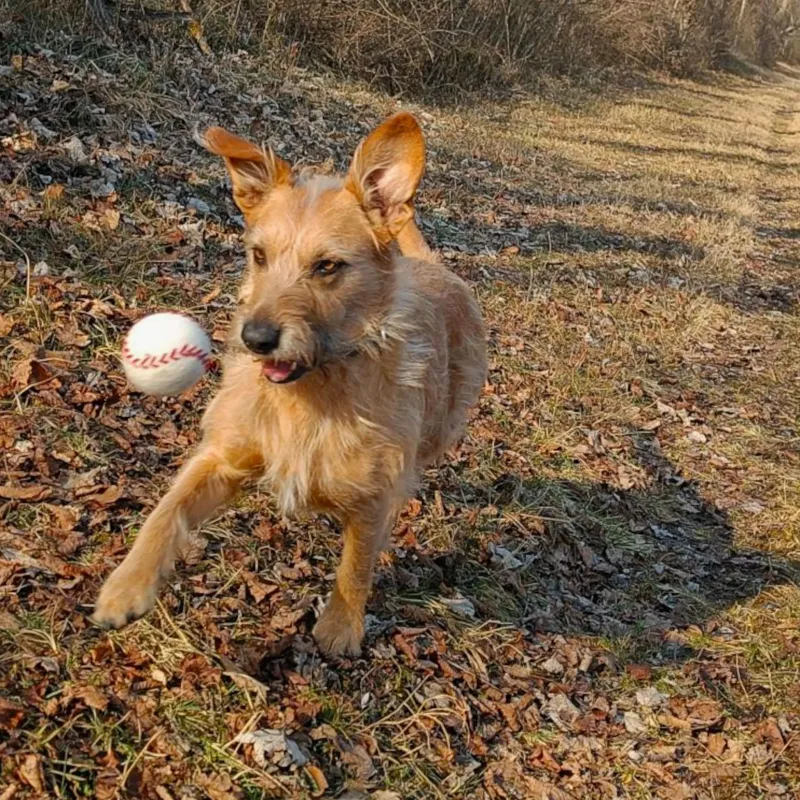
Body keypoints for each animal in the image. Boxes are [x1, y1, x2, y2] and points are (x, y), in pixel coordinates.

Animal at [90, 114, 484, 656]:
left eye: (327, 266)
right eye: (258, 255)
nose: (256, 339)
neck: (312, 391)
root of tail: (435, 268)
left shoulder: (374, 497)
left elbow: (356, 564)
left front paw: (340, 625)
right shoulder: (222, 457)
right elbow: (166, 511)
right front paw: (126, 585)